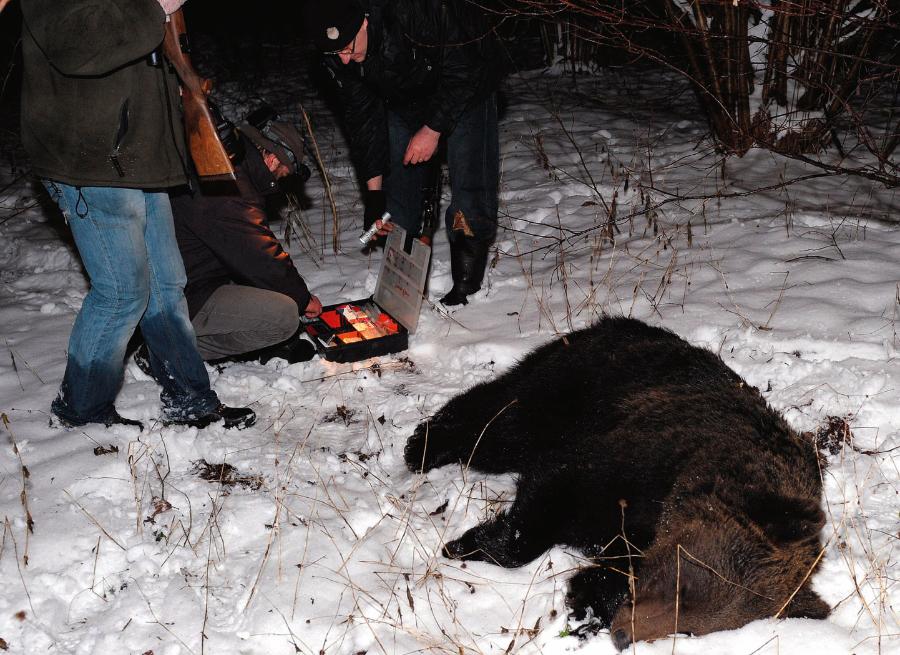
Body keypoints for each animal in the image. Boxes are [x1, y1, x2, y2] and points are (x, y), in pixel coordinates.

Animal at [406, 318, 828, 652]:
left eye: (692, 629)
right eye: (683, 586)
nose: (624, 635)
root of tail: (614, 322)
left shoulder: (632, 532)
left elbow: (610, 569)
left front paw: (585, 600)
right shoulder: (625, 461)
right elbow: (543, 505)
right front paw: (465, 544)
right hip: (574, 383)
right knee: (500, 422)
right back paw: (423, 445)